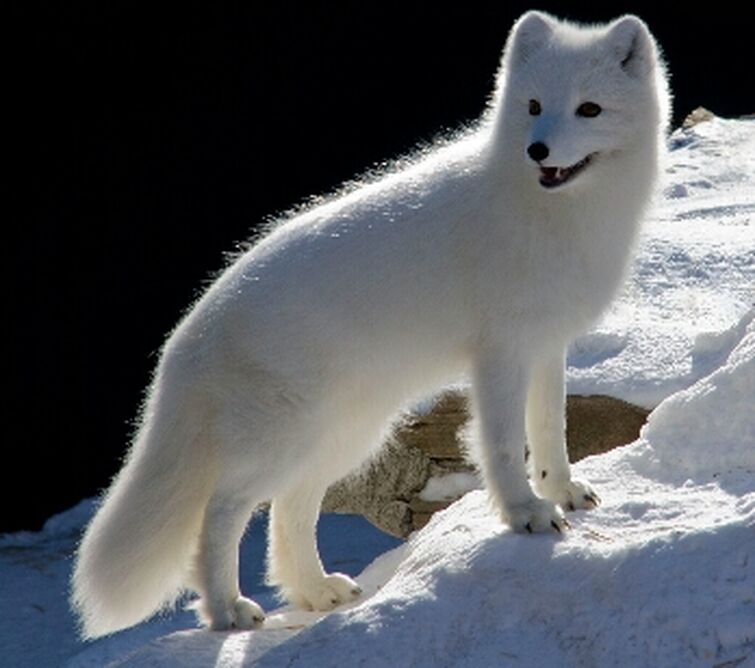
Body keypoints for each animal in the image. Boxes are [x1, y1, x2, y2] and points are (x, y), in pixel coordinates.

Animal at [74, 10, 672, 636]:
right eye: (533, 105)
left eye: (589, 109)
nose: (537, 149)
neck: (553, 213)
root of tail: (190, 331)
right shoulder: (501, 353)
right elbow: (506, 446)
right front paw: (525, 515)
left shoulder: (547, 345)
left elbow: (551, 431)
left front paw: (563, 492)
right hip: (284, 440)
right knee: (221, 512)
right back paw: (228, 610)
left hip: (343, 437)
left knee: (287, 512)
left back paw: (316, 592)